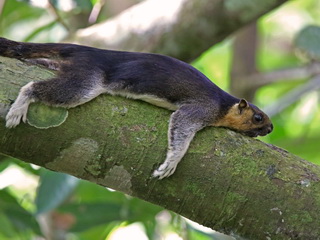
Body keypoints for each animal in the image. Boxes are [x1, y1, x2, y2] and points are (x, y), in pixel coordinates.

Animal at [0, 38, 272, 178]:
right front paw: (171, 163)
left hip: (70, 69)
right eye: (258, 117)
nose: (270, 129)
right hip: (86, 81)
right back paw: (20, 104)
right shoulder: (201, 108)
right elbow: (182, 125)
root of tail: (90, 51)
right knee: (36, 87)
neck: (225, 104)